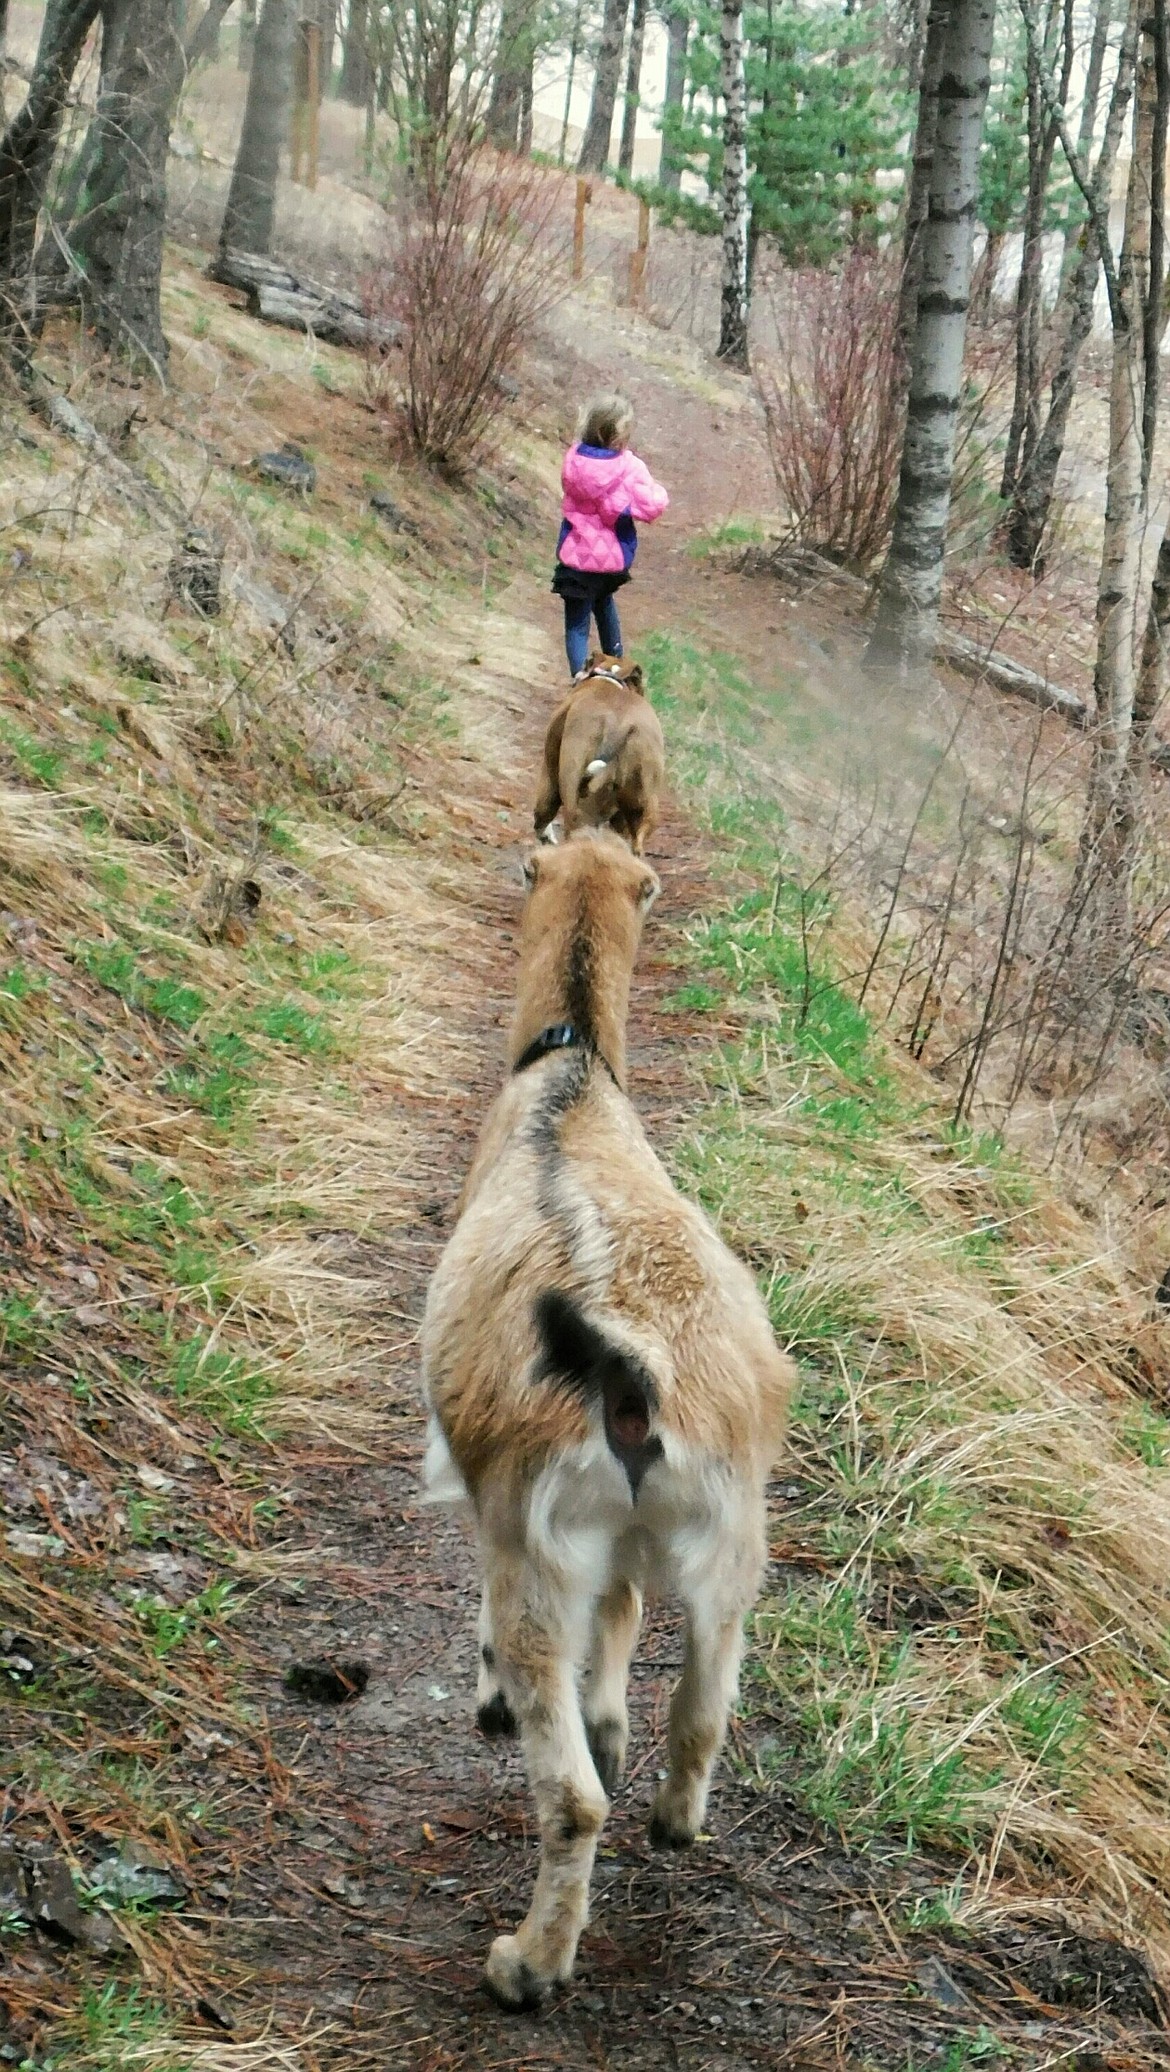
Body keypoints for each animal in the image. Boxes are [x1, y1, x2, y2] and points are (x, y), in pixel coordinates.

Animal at [420, 824, 795, 2005]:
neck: (567, 1077)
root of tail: (634, 1375)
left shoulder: (499, 1505)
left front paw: (493, 1691)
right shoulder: (624, 1540)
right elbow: (626, 1609)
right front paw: (610, 1719)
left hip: (542, 1545)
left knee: (573, 1796)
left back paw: (528, 1963)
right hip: (731, 1536)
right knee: (706, 1704)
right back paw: (671, 1816)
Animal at [530, 658, 662, 861]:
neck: (609, 679)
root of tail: (622, 725)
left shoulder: (549, 775)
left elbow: (543, 814)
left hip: (577, 799)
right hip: (643, 807)